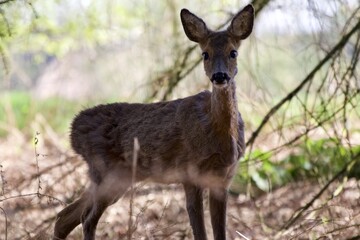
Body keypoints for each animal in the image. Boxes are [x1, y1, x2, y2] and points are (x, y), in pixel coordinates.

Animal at [53, 4, 255, 240]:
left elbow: (219, 231)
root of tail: (72, 132)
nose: (220, 76)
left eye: (233, 52)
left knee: (64, 217)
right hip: (107, 172)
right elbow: (199, 231)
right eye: (205, 54)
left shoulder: (223, 179)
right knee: (86, 218)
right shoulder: (189, 172)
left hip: (116, 178)